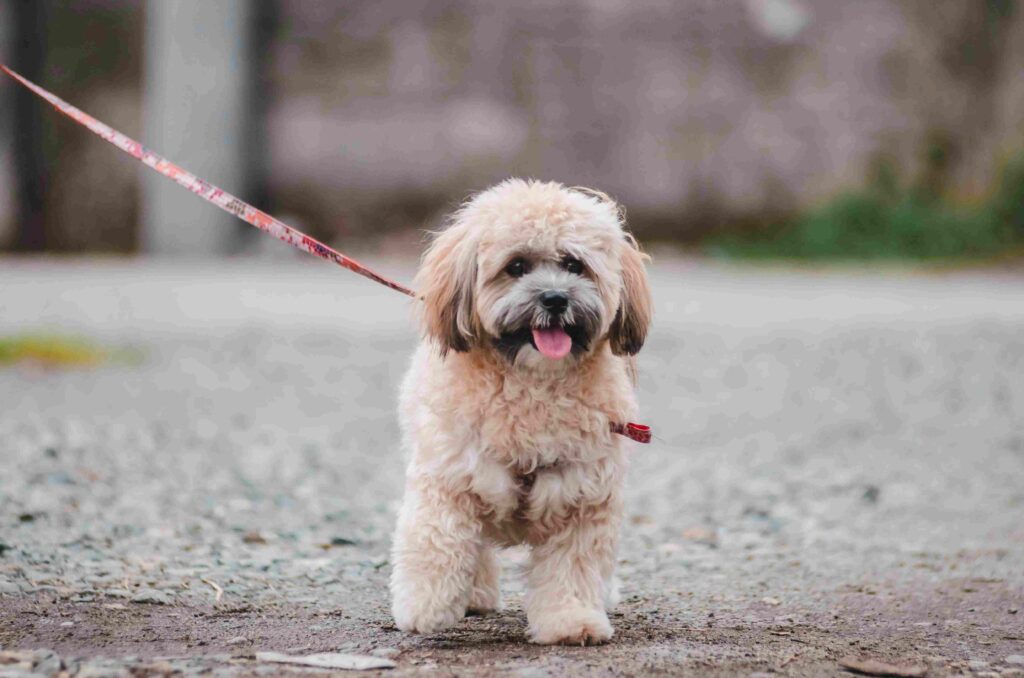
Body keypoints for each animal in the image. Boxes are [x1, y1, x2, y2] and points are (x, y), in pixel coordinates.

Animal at [387, 178, 651, 647]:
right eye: (516, 266)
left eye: (574, 265)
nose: (555, 298)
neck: (534, 385)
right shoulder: (449, 478)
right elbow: (438, 539)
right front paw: (425, 607)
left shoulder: (582, 498)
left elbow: (572, 568)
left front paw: (572, 620)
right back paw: (473, 595)